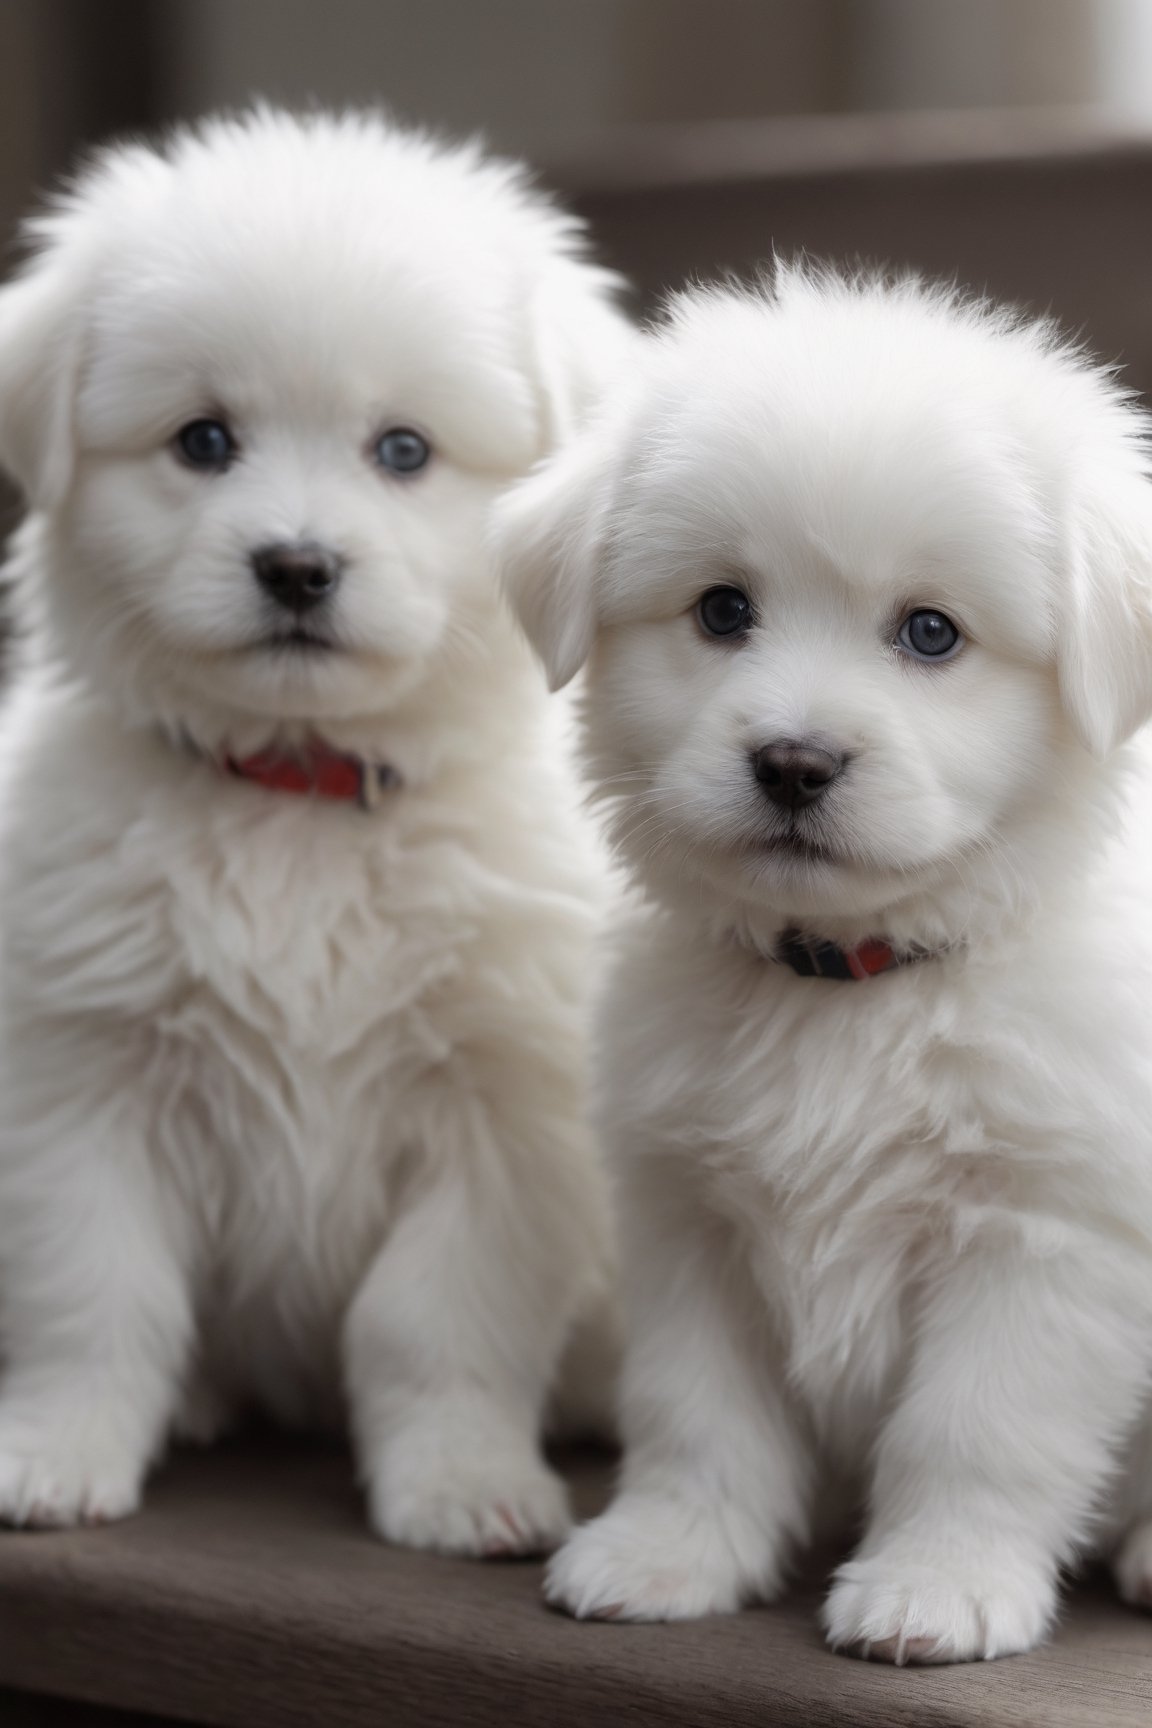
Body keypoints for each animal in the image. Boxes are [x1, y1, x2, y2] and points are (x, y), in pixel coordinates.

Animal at [0, 108, 632, 1555]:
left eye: (403, 450)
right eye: (202, 441)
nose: (296, 566)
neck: (300, 799)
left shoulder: (502, 1112)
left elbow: (434, 1322)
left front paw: (460, 1484)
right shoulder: (80, 1084)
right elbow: (92, 1297)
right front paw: (56, 1453)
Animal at [497, 269, 1152, 1658]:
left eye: (931, 633)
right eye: (722, 610)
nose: (794, 762)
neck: (857, 982)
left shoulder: (1047, 1234)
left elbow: (975, 1431)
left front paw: (939, 1587)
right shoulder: (691, 1224)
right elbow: (697, 1416)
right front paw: (670, 1553)